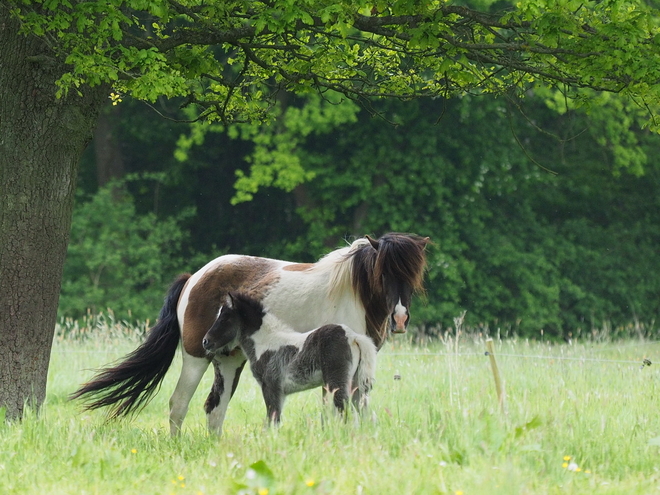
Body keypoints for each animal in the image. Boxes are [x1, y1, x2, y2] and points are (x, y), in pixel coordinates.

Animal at [201, 294, 376, 426]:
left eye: (225, 318)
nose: (205, 341)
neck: (264, 342)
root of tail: (353, 337)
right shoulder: (280, 393)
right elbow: (276, 419)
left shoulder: (270, 387)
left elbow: (272, 419)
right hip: (355, 383)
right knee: (359, 410)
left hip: (337, 383)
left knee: (346, 410)